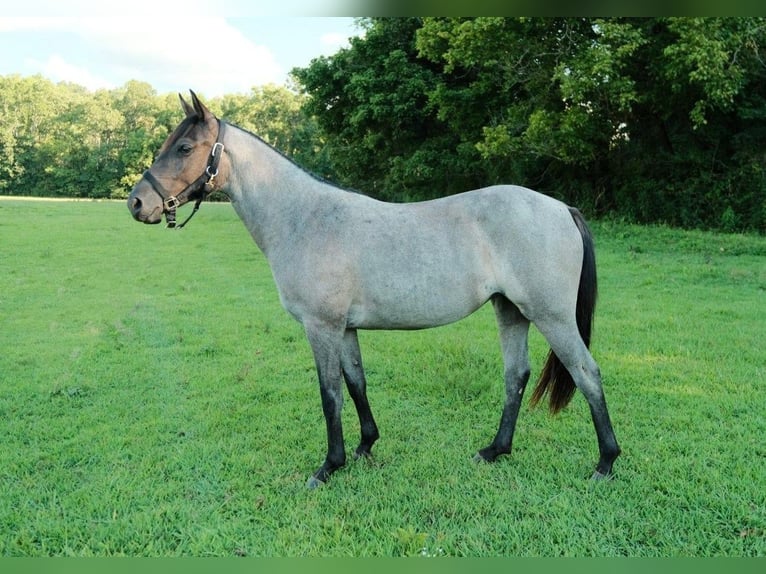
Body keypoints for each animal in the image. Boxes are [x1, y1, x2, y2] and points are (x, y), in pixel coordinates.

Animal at [127, 91, 620, 488]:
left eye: (185, 147)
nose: (136, 203)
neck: (305, 219)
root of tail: (562, 208)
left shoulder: (321, 327)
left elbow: (330, 394)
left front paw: (328, 466)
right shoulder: (344, 328)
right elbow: (356, 383)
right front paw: (365, 448)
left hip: (551, 316)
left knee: (587, 373)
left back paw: (605, 463)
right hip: (510, 310)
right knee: (516, 376)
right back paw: (495, 450)